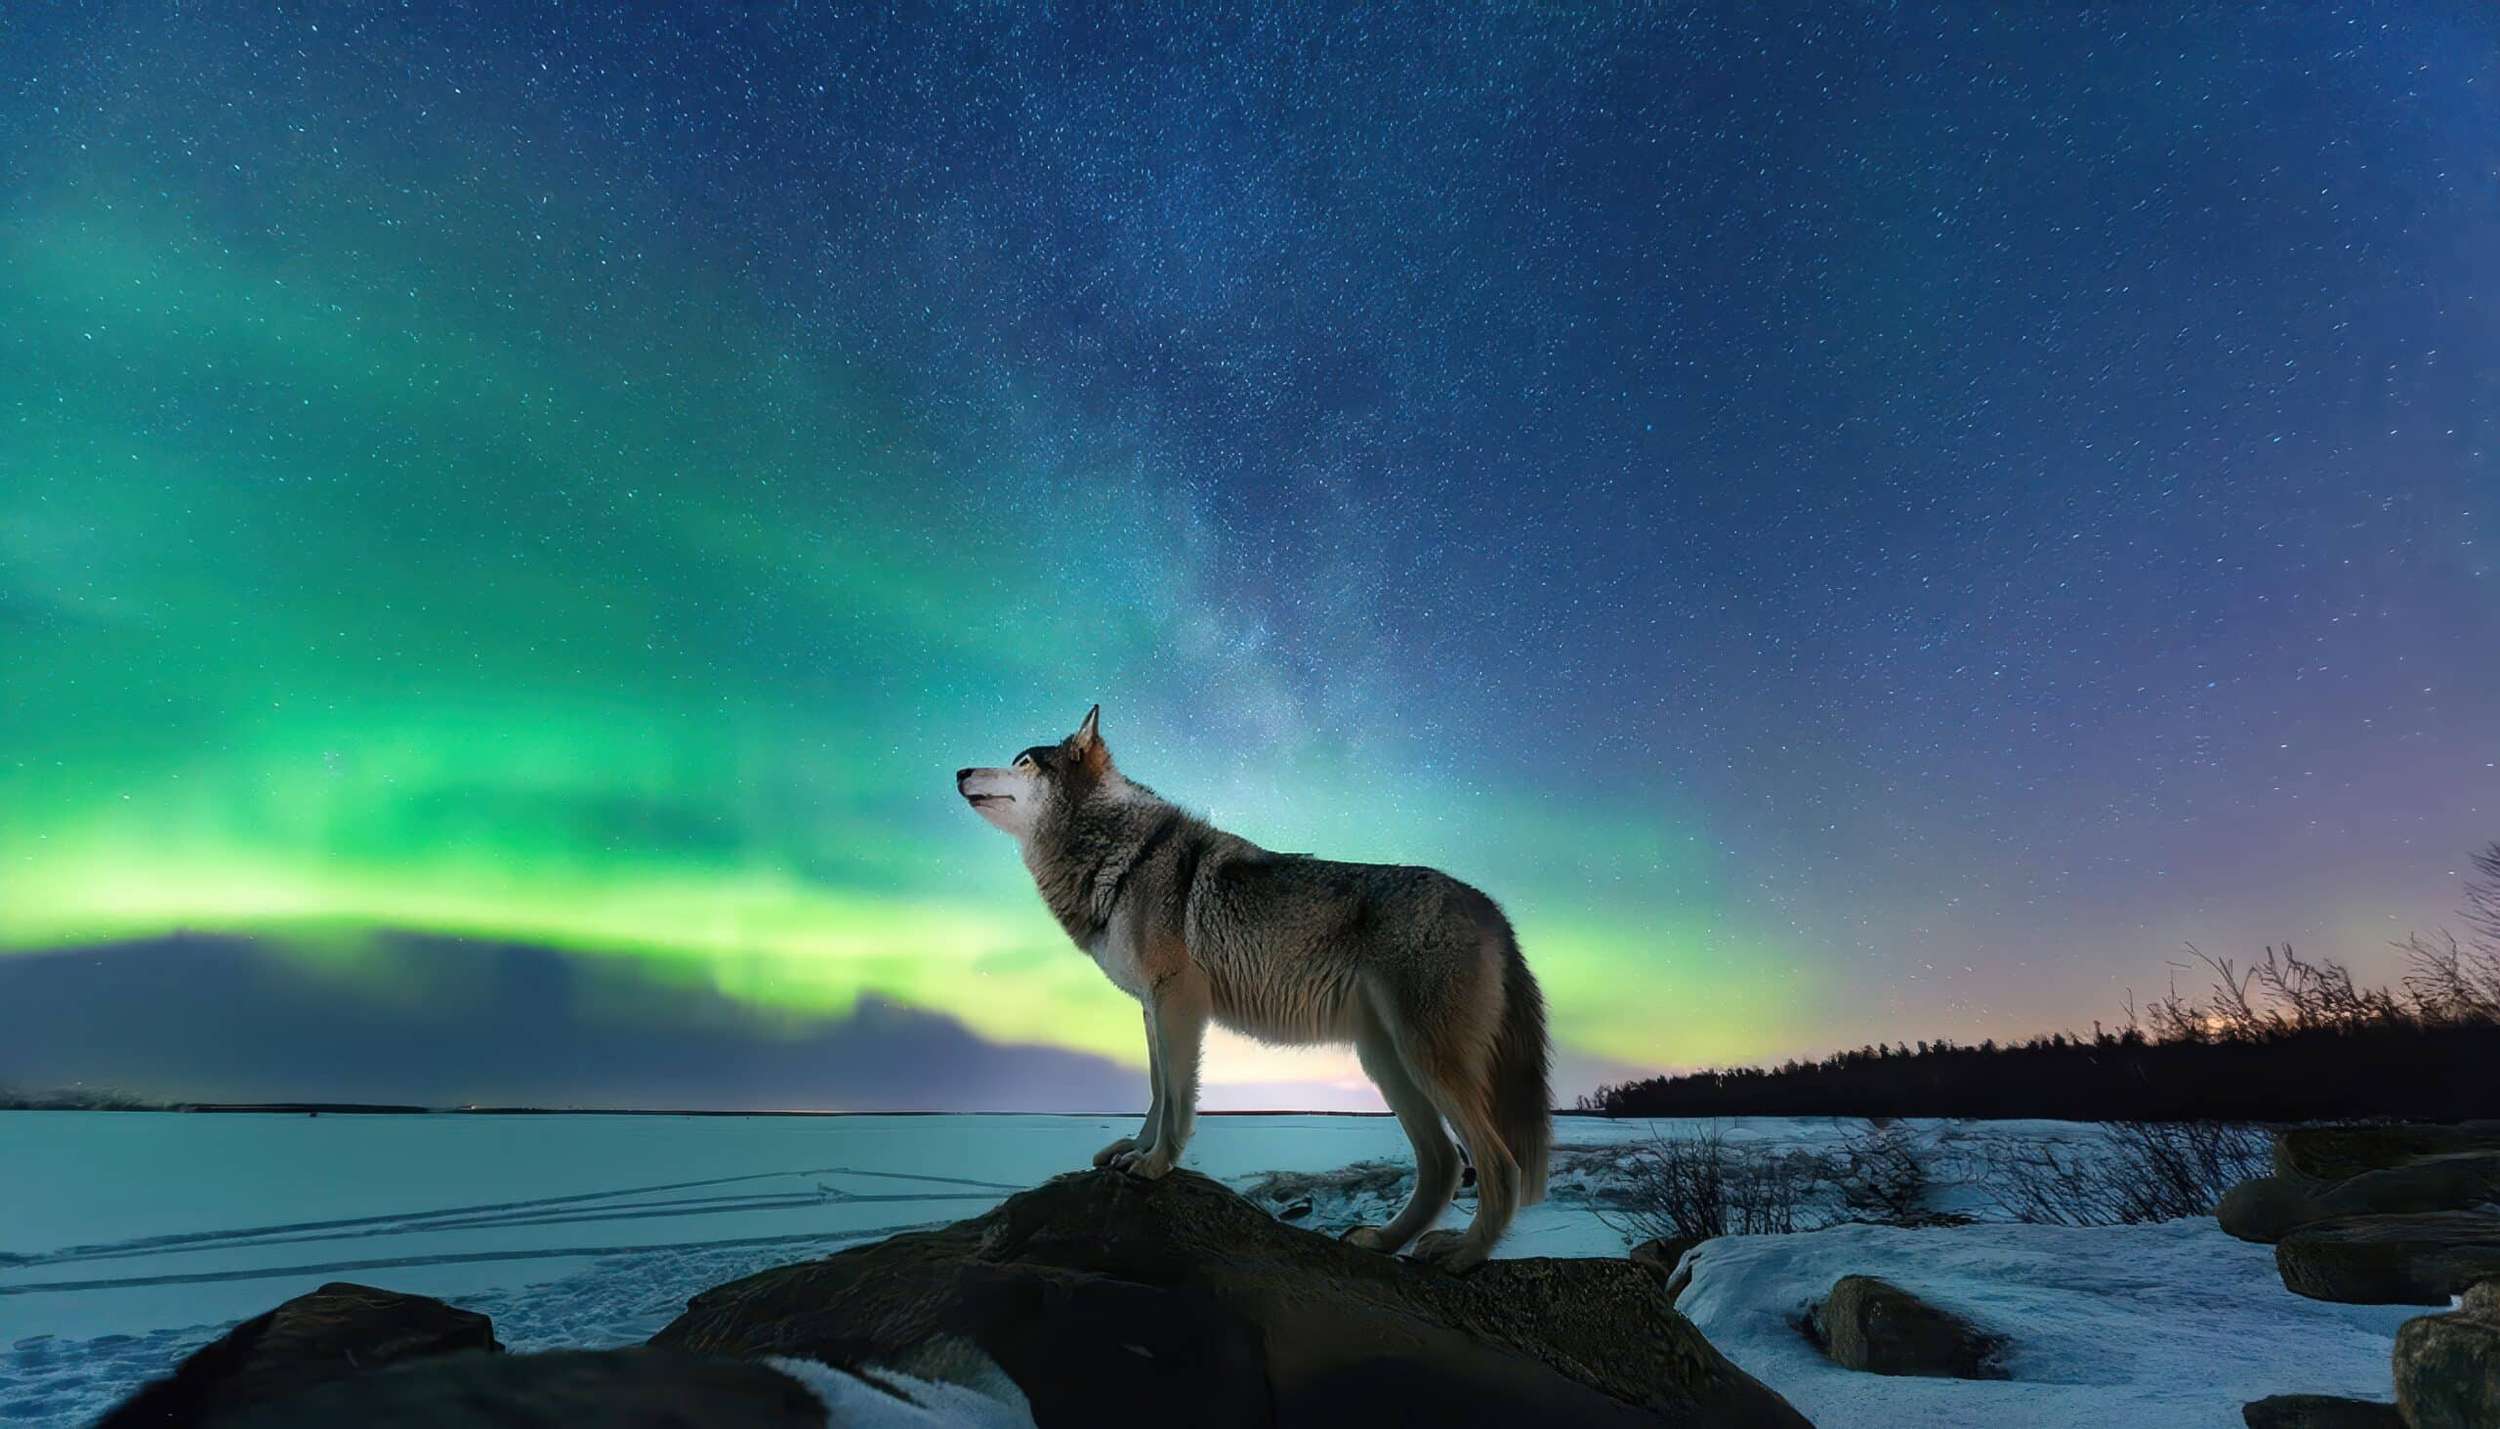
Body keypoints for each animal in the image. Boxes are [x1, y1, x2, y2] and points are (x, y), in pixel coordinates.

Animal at [956, 705, 1550, 1270]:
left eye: (1023, 762)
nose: (959, 771)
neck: (1120, 855)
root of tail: (1491, 907)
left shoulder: (1179, 1001)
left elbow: (1177, 1099)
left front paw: (1155, 1165)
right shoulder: (1150, 1008)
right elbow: (1155, 1090)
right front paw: (1136, 1150)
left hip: (1428, 1062)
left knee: (1500, 1166)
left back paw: (1463, 1255)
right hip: (1388, 1063)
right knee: (1445, 1164)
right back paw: (1383, 1241)